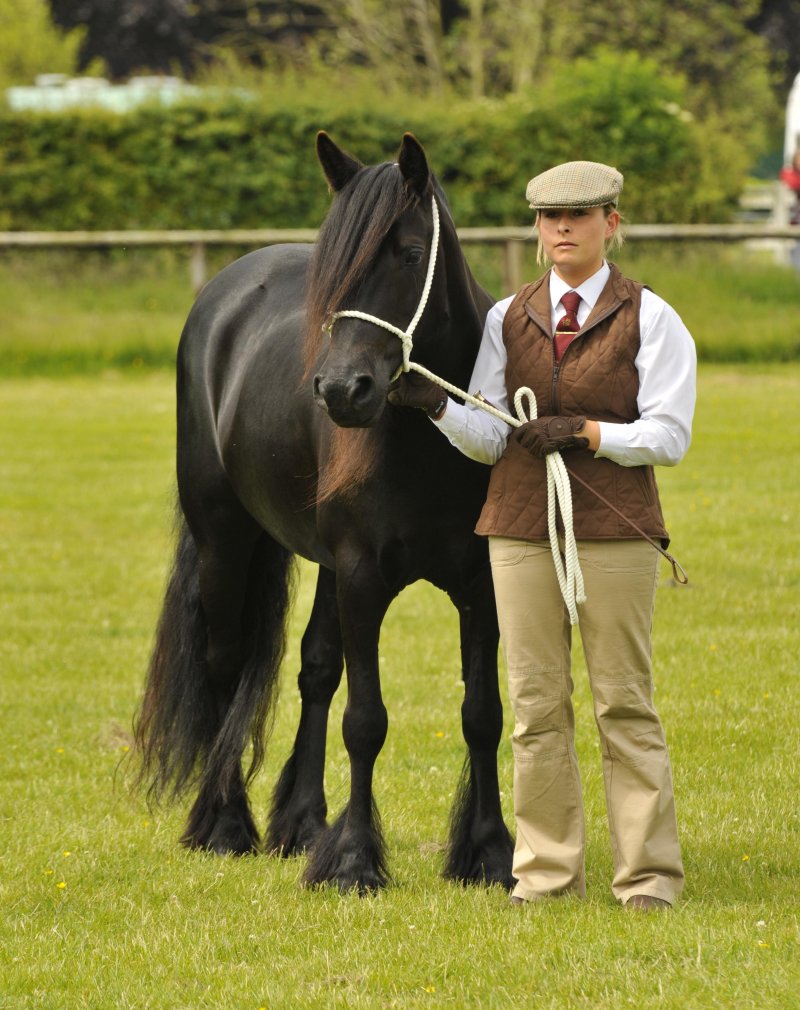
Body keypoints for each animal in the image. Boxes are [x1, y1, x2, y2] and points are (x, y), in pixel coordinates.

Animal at [134, 131, 514, 893]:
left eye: (408, 252)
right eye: (333, 270)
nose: (343, 390)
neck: (428, 443)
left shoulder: (477, 585)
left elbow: (481, 715)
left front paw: (487, 852)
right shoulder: (363, 579)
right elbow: (365, 720)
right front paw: (355, 861)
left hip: (324, 568)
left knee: (315, 670)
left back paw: (303, 822)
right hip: (226, 541)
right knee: (226, 666)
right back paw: (226, 823)